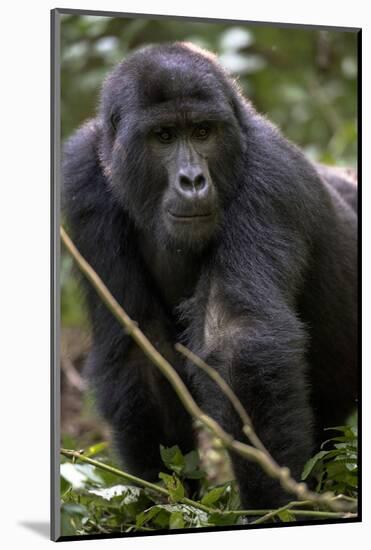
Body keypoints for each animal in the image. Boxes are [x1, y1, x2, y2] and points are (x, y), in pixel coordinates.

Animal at [62, 42, 358, 508]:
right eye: (164, 136)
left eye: (203, 132)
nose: (193, 180)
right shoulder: (83, 182)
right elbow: (140, 349)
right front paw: (164, 501)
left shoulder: (269, 177)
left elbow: (239, 342)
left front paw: (274, 505)